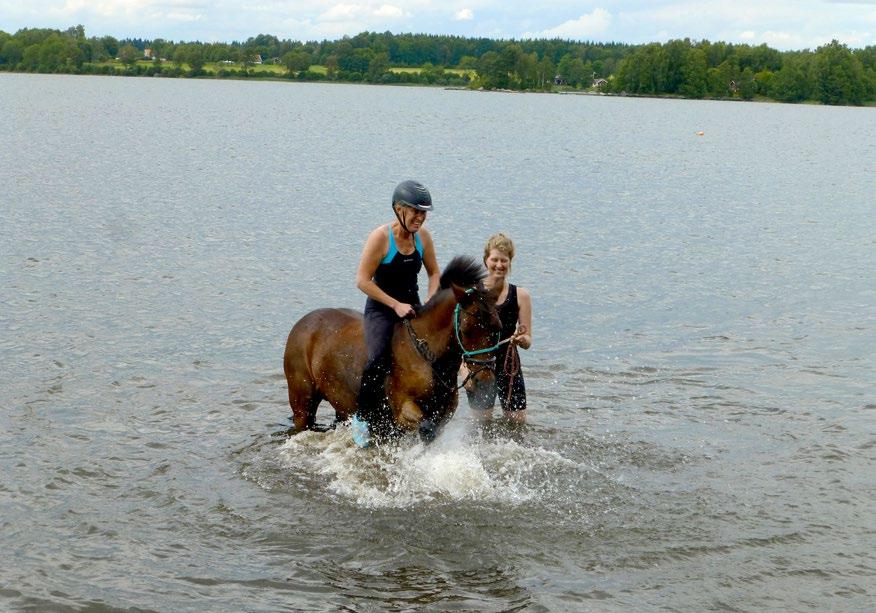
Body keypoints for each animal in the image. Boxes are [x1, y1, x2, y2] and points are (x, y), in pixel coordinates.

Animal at [280, 256, 500, 442]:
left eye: (498, 329)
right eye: (466, 330)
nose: (484, 380)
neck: (427, 359)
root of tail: (302, 323)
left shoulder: (444, 414)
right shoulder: (403, 410)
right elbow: (425, 427)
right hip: (302, 403)